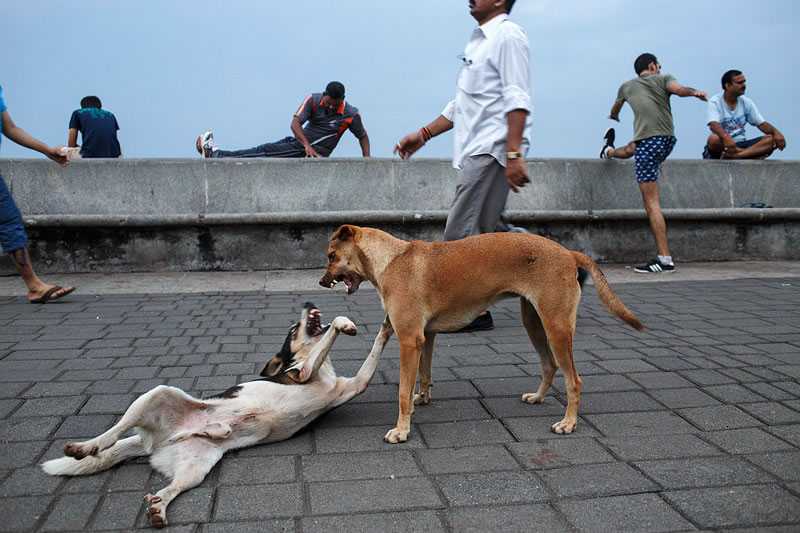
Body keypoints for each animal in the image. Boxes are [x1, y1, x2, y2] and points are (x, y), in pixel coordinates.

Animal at [43, 302, 394, 524]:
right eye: (294, 327)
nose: (308, 301)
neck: (321, 372)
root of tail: (154, 442)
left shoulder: (355, 385)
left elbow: (373, 353)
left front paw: (387, 325)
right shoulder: (303, 372)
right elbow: (331, 331)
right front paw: (344, 323)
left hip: (196, 466)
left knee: (170, 488)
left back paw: (159, 506)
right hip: (158, 394)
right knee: (112, 433)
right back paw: (84, 447)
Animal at [318, 223, 644, 440]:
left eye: (332, 256)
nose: (321, 282)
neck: (392, 258)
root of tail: (568, 253)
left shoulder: (409, 340)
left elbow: (401, 391)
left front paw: (401, 429)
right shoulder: (426, 338)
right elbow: (423, 375)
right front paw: (421, 398)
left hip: (556, 328)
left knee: (573, 380)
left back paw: (569, 423)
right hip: (534, 323)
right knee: (549, 366)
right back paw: (538, 397)